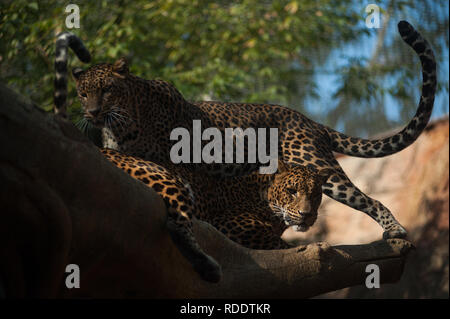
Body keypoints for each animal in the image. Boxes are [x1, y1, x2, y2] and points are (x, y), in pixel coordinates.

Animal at [69, 21, 436, 244]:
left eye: (107, 90)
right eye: (83, 93)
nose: (92, 112)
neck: (124, 122)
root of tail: (309, 120)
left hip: (321, 168)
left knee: (369, 199)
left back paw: (396, 230)